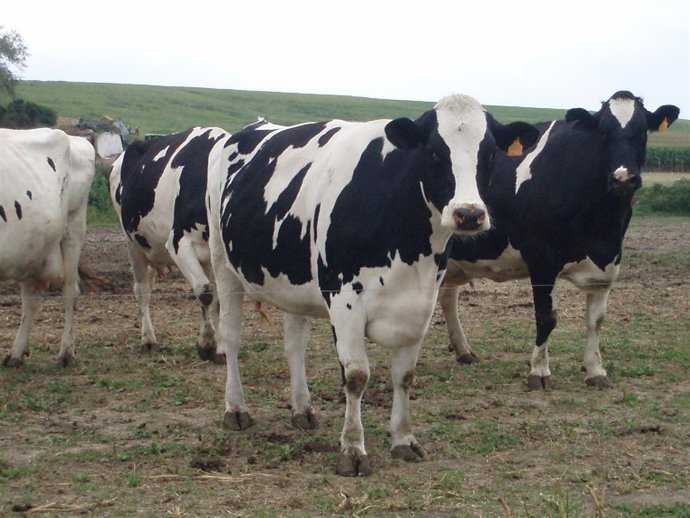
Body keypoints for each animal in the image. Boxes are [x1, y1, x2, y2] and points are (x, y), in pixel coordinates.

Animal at [1, 128, 95, 367]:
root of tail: (75, 139)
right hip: (32, 247)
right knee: (30, 298)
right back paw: (16, 353)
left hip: (73, 228)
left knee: (70, 290)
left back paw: (66, 353)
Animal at [109, 127, 230, 363]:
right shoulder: (178, 243)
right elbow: (205, 292)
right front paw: (206, 343)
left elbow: (219, 299)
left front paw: (220, 348)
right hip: (132, 243)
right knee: (141, 289)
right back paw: (148, 339)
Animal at [206, 95, 539, 476]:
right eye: (434, 153)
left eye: (490, 154)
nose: (469, 214)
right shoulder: (345, 301)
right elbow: (355, 376)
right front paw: (352, 449)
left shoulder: (420, 305)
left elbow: (405, 375)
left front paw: (404, 439)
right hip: (223, 265)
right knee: (232, 337)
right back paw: (236, 409)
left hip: (294, 281)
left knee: (295, 345)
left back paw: (302, 410)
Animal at [439, 91, 680, 389]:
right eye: (603, 133)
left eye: (642, 131)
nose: (623, 178)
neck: (602, 225)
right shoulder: (542, 259)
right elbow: (546, 317)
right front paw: (539, 371)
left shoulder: (607, 264)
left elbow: (595, 320)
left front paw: (595, 370)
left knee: (447, 296)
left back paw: (463, 351)